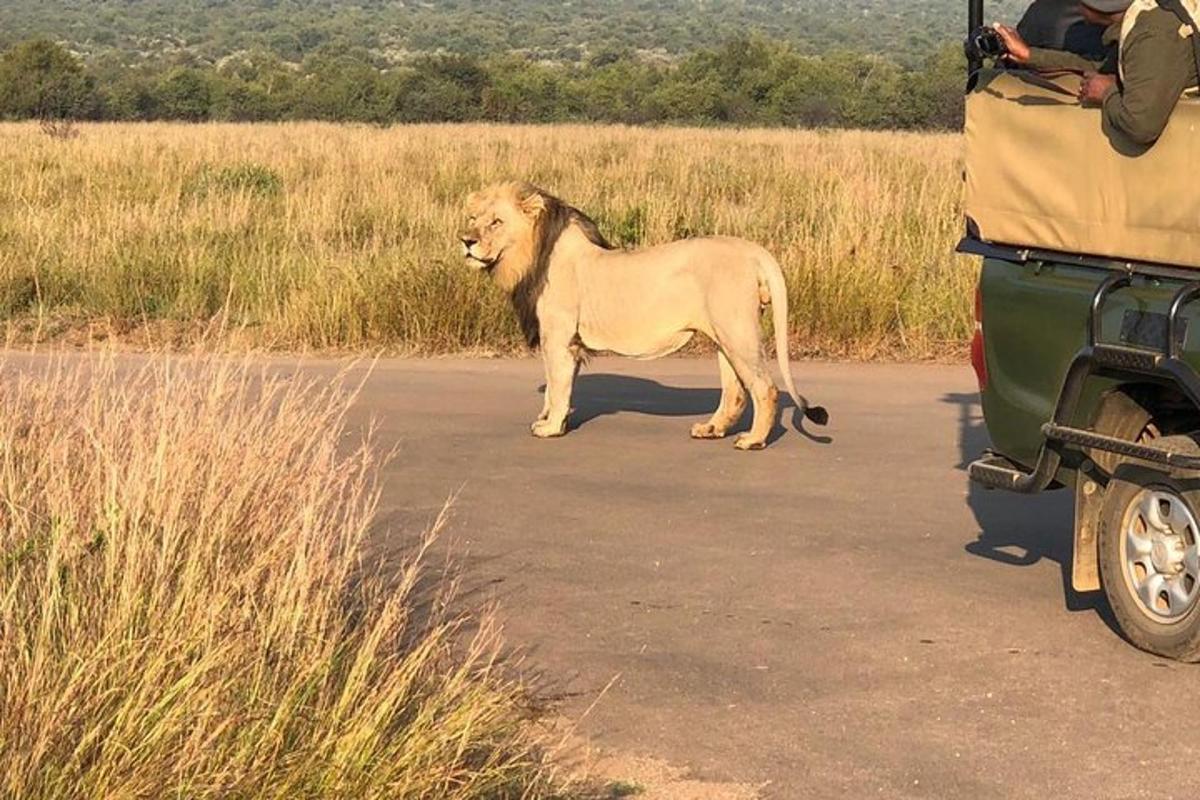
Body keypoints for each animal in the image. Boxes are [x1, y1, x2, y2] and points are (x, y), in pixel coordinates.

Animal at [458, 183, 825, 453]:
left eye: (496, 222)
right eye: (473, 217)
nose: (466, 241)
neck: (531, 255)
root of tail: (755, 251)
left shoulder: (558, 338)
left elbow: (557, 385)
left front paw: (550, 428)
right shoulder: (568, 343)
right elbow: (556, 387)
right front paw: (550, 419)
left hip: (737, 331)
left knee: (765, 387)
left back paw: (753, 440)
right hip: (724, 334)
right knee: (735, 390)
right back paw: (711, 429)